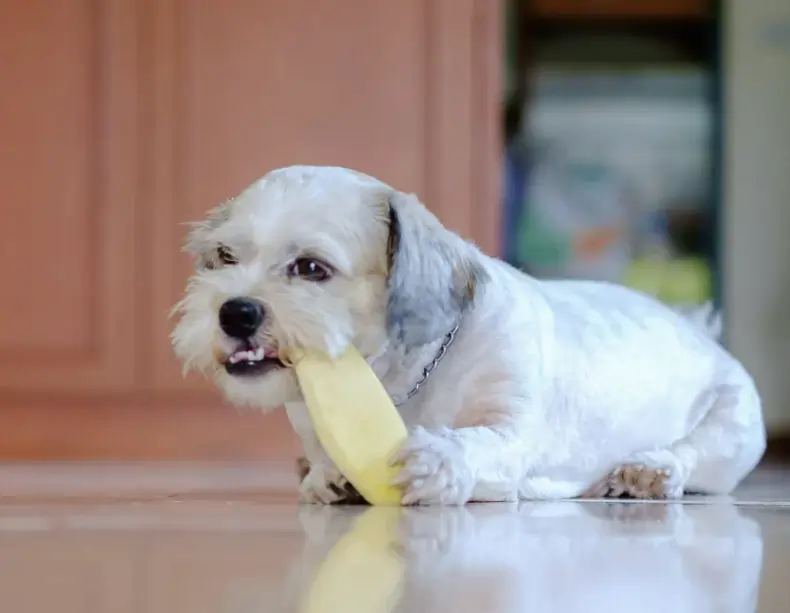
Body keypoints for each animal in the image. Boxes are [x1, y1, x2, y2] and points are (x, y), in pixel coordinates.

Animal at [172, 165, 768, 504]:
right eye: (225, 256)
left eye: (312, 268)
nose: (235, 312)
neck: (404, 380)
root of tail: (697, 329)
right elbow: (321, 459)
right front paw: (325, 473)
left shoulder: (512, 428)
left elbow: (480, 443)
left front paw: (437, 459)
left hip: (731, 428)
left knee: (693, 459)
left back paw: (649, 471)